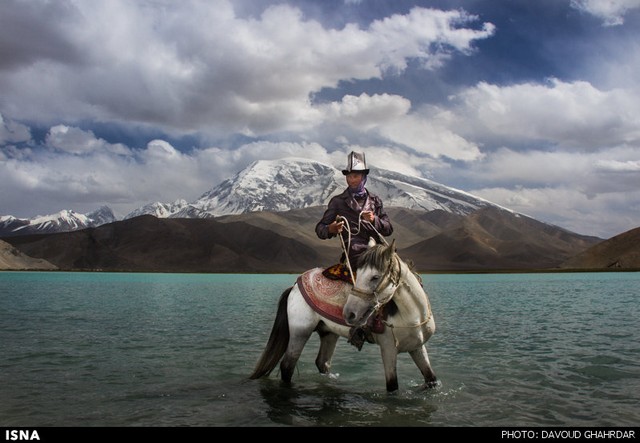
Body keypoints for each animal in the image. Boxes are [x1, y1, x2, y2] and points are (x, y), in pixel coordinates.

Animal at [249, 239, 437, 392]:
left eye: (375, 277)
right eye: (358, 273)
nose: (349, 313)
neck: (412, 313)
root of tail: (294, 286)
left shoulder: (417, 347)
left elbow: (431, 379)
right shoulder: (388, 348)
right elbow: (392, 386)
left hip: (328, 332)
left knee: (322, 362)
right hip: (300, 331)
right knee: (287, 365)